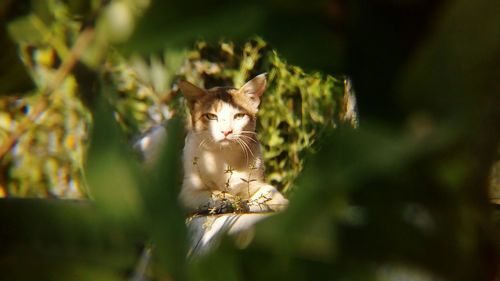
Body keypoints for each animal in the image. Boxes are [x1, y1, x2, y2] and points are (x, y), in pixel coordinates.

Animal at [180, 73, 290, 213]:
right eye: (211, 116)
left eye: (239, 116)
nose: (226, 131)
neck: (225, 158)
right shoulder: (188, 191)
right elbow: (213, 192)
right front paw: (228, 201)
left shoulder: (257, 182)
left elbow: (269, 193)